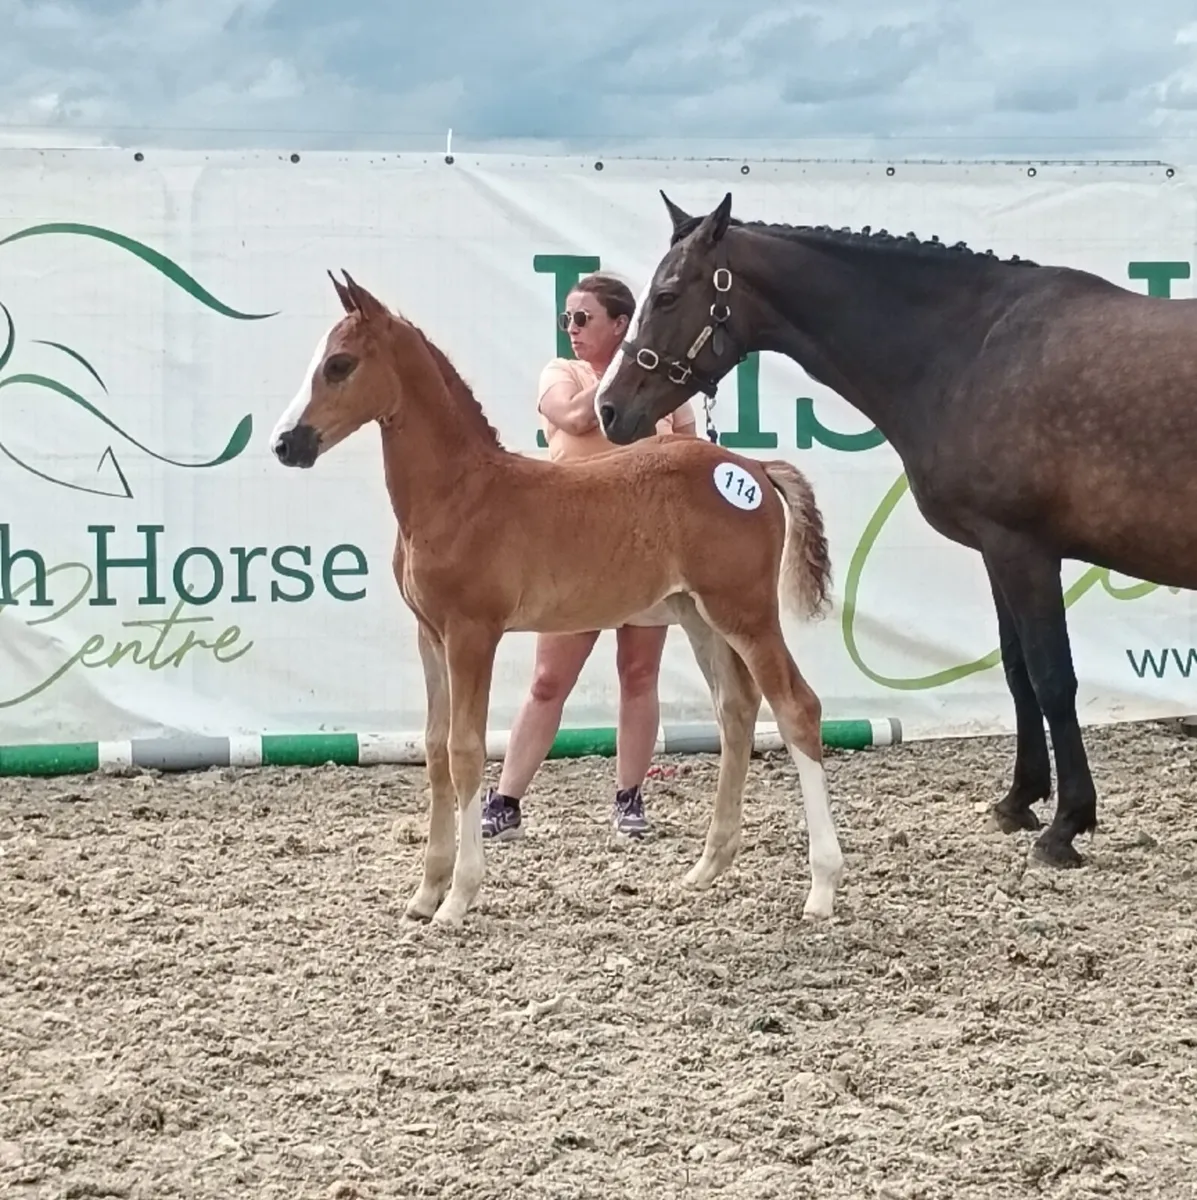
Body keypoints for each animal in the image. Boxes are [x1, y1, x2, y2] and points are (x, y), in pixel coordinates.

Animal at [267, 269, 844, 928]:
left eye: (339, 365)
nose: (286, 444)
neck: (459, 496)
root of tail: (750, 465)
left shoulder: (473, 633)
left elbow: (466, 751)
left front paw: (458, 897)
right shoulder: (429, 635)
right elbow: (435, 750)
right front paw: (425, 892)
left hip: (745, 612)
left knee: (796, 707)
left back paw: (822, 888)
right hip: (698, 616)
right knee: (738, 710)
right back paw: (705, 868)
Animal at [594, 189, 1197, 872]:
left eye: (668, 294)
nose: (610, 409)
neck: (969, 351)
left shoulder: (1024, 551)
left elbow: (1052, 679)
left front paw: (1066, 824)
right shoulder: (997, 552)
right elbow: (1018, 674)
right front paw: (1019, 801)